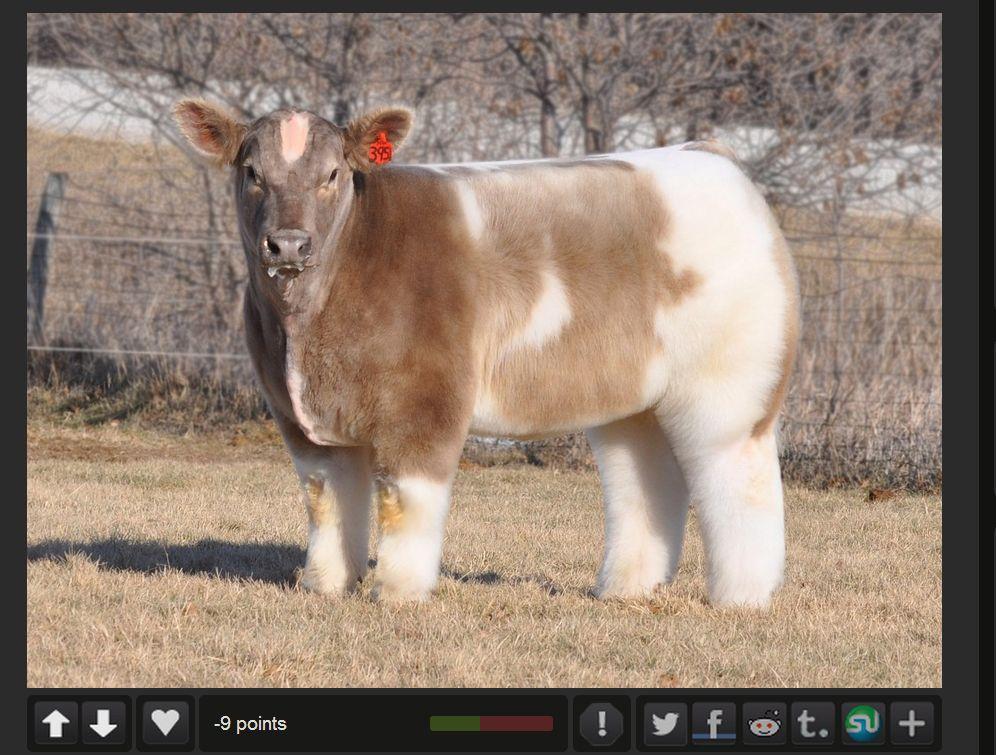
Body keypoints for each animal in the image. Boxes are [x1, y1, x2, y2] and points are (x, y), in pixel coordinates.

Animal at [172, 99, 799, 607]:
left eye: (332, 174)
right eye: (252, 173)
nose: (288, 244)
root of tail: (712, 156)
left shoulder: (426, 401)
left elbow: (405, 502)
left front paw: (397, 594)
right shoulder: (299, 418)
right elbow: (327, 503)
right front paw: (325, 586)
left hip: (729, 388)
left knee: (737, 481)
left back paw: (742, 597)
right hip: (634, 399)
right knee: (644, 480)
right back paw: (625, 589)